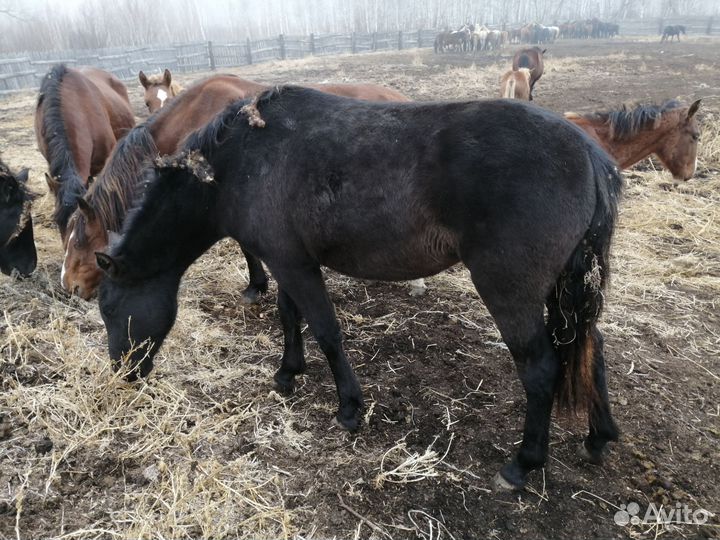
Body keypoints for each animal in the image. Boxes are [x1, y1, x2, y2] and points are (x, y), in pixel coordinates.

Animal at [95, 86, 623, 491]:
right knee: (591, 348)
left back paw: (522, 464)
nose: (124, 373)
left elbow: (326, 331)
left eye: (110, 308)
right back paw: (598, 438)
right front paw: (288, 373)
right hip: (564, 288)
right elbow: (290, 316)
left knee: (540, 369)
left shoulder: (293, 264)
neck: (240, 164)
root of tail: (589, 153)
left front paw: (349, 407)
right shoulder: (288, 261)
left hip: (511, 293)